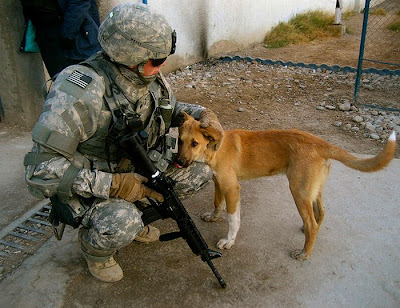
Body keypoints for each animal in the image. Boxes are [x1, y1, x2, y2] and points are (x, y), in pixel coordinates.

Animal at [177, 112, 396, 260]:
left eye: (194, 143)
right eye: (179, 141)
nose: (178, 162)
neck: (215, 148)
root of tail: (322, 143)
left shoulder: (232, 188)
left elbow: (233, 219)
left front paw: (229, 241)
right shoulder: (219, 183)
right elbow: (218, 203)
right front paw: (213, 217)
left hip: (298, 191)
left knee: (312, 222)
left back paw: (303, 253)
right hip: (313, 190)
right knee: (320, 214)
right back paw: (307, 235)